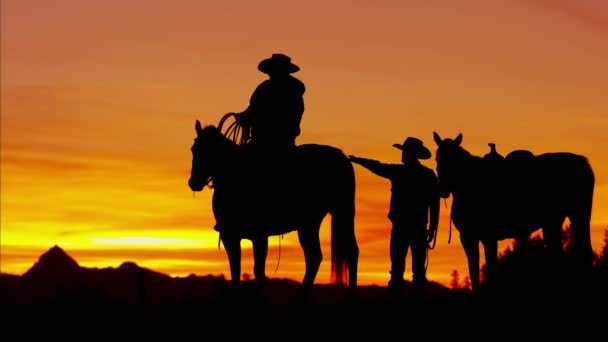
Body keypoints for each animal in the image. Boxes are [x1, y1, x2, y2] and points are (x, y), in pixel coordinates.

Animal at [185, 120, 356, 302]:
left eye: (212, 150)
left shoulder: (259, 236)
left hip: (342, 212)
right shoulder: (230, 236)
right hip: (309, 224)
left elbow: (258, 270)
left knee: (348, 253)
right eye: (194, 149)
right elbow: (235, 270)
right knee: (316, 257)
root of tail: (342, 157)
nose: (194, 182)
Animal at [432, 132, 592, 292]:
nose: (442, 188)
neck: (470, 185)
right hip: (555, 223)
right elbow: (474, 273)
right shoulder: (468, 237)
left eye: (454, 160)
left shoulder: (488, 238)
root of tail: (582, 163)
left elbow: (490, 270)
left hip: (578, 216)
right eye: (437, 158)